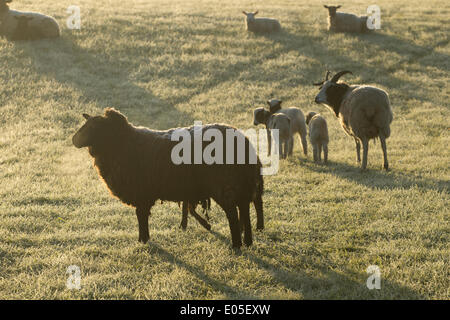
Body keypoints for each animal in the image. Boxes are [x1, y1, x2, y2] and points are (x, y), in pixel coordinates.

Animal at [72, 109, 266, 249]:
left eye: (93, 127)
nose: (74, 140)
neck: (121, 144)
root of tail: (244, 142)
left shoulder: (141, 193)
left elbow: (141, 215)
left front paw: (143, 240)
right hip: (239, 185)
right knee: (244, 210)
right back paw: (248, 241)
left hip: (225, 185)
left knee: (233, 213)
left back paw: (236, 245)